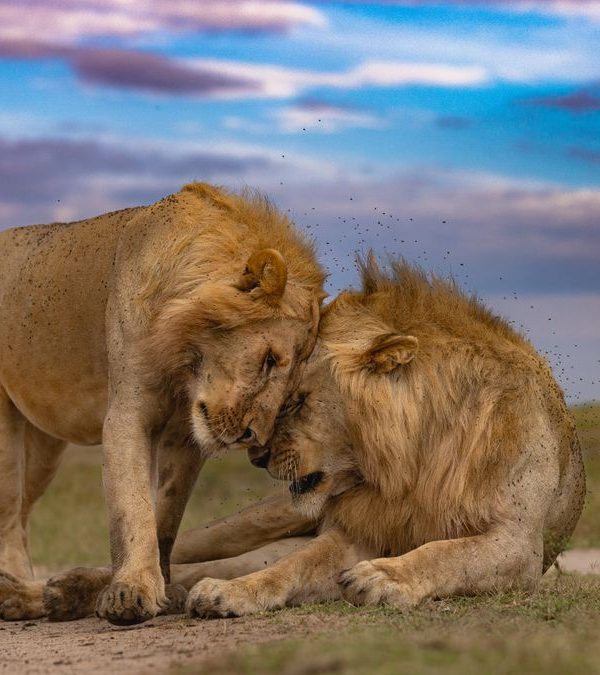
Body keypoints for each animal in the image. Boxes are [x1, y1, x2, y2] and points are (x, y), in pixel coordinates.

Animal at [0, 182, 324, 625]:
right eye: (270, 359)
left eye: (291, 384)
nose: (252, 438)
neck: (183, 359)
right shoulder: (127, 413)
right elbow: (133, 506)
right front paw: (131, 593)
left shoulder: (187, 437)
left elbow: (166, 515)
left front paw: (163, 588)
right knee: (8, 519)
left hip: (43, 450)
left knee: (21, 514)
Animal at [39, 257, 585, 621]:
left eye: (298, 401)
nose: (257, 457)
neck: (409, 465)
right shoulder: (357, 532)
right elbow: (293, 567)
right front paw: (232, 593)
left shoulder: (518, 544)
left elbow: (446, 553)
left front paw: (385, 577)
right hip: (254, 520)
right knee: (177, 552)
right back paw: (76, 588)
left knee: (194, 569)